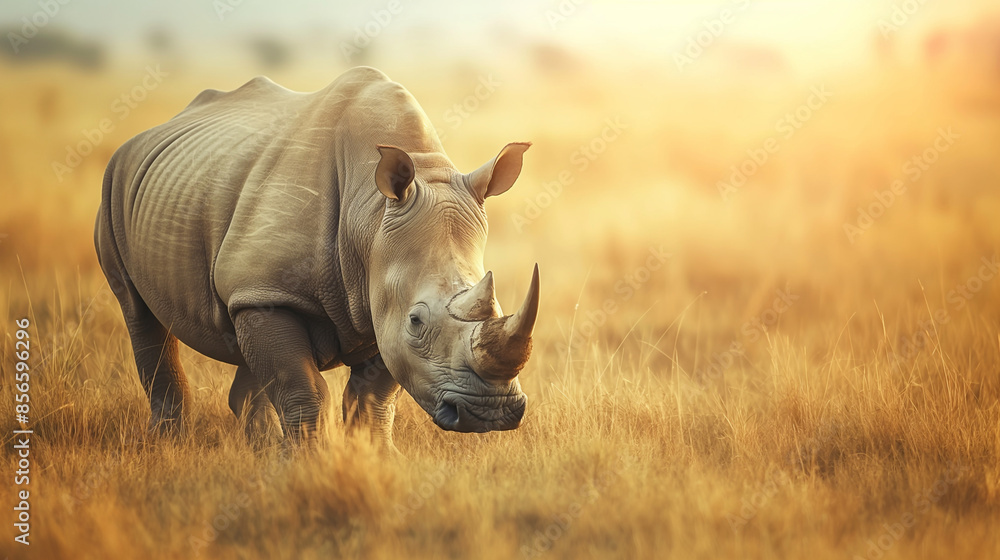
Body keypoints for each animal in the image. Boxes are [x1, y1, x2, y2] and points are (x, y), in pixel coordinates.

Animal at [94, 67, 538, 451]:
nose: (490, 413)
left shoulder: (374, 303)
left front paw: (375, 456)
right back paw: (168, 443)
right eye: (416, 321)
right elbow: (302, 390)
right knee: (139, 314)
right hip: (114, 185)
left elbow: (372, 399)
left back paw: (261, 449)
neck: (370, 216)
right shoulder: (272, 289)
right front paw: (308, 461)